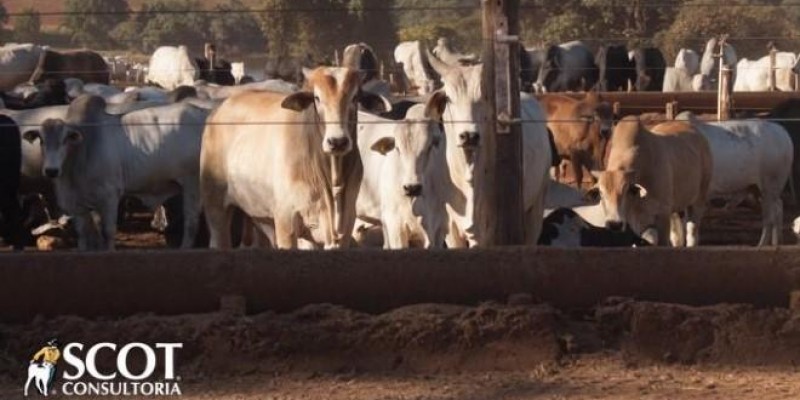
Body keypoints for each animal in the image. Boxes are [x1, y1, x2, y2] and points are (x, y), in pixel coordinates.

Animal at [21, 95, 209, 248]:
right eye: (41, 141)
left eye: (65, 140)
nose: (51, 170)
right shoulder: (78, 205)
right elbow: (84, 236)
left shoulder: (109, 196)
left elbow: (108, 232)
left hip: (193, 184)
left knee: (191, 223)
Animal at [198, 67, 390, 248]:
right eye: (317, 98)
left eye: (355, 97)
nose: (337, 141)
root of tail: (219, 109)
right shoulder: (286, 221)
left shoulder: (344, 228)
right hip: (215, 207)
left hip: (259, 216)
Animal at [428, 54, 552, 245]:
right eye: (448, 98)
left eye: (485, 97)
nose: (469, 136)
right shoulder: (450, 227)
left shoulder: (484, 232)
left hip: (537, 205)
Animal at [588, 116, 712, 247]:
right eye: (601, 193)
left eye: (626, 191)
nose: (614, 224)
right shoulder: (637, 223)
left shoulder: (663, 215)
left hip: (698, 201)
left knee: (692, 234)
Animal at [676, 111, 792, 245]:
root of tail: (783, 132)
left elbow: (689, 229)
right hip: (760, 189)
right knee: (778, 207)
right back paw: (776, 242)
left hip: (770, 186)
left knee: (770, 218)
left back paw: (762, 245)